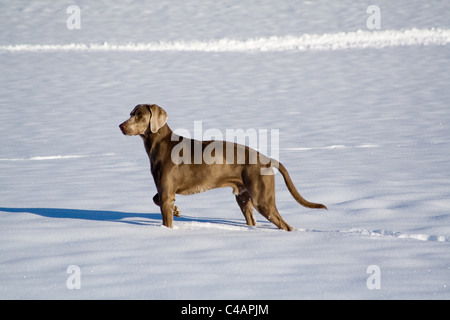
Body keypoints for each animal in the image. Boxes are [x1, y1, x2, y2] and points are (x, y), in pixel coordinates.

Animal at [118, 104, 326, 231]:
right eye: (130, 114)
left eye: (140, 116)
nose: (121, 126)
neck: (160, 144)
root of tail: (268, 159)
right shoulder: (165, 192)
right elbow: (156, 198)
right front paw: (177, 210)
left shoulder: (166, 193)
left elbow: (165, 216)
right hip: (244, 197)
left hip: (262, 199)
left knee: (285, 225)